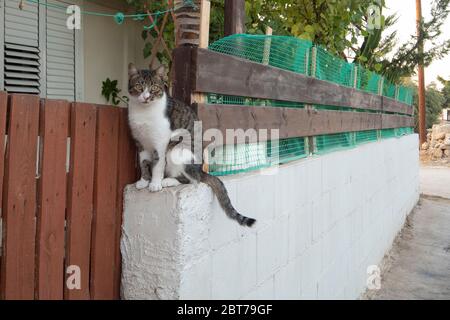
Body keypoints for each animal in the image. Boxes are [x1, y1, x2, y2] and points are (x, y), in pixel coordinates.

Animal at [126, 63, 256, 228]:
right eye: (139, 86)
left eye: (154, 87)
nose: (146, 97)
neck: (143, 112)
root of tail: (202, 170)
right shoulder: (140, 142)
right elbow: (143, 163)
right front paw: (143, 181)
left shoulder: (161, 142)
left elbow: (158, 164)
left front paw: (155, 183)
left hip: (178, 149)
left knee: (194, 179)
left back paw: (168, 180)